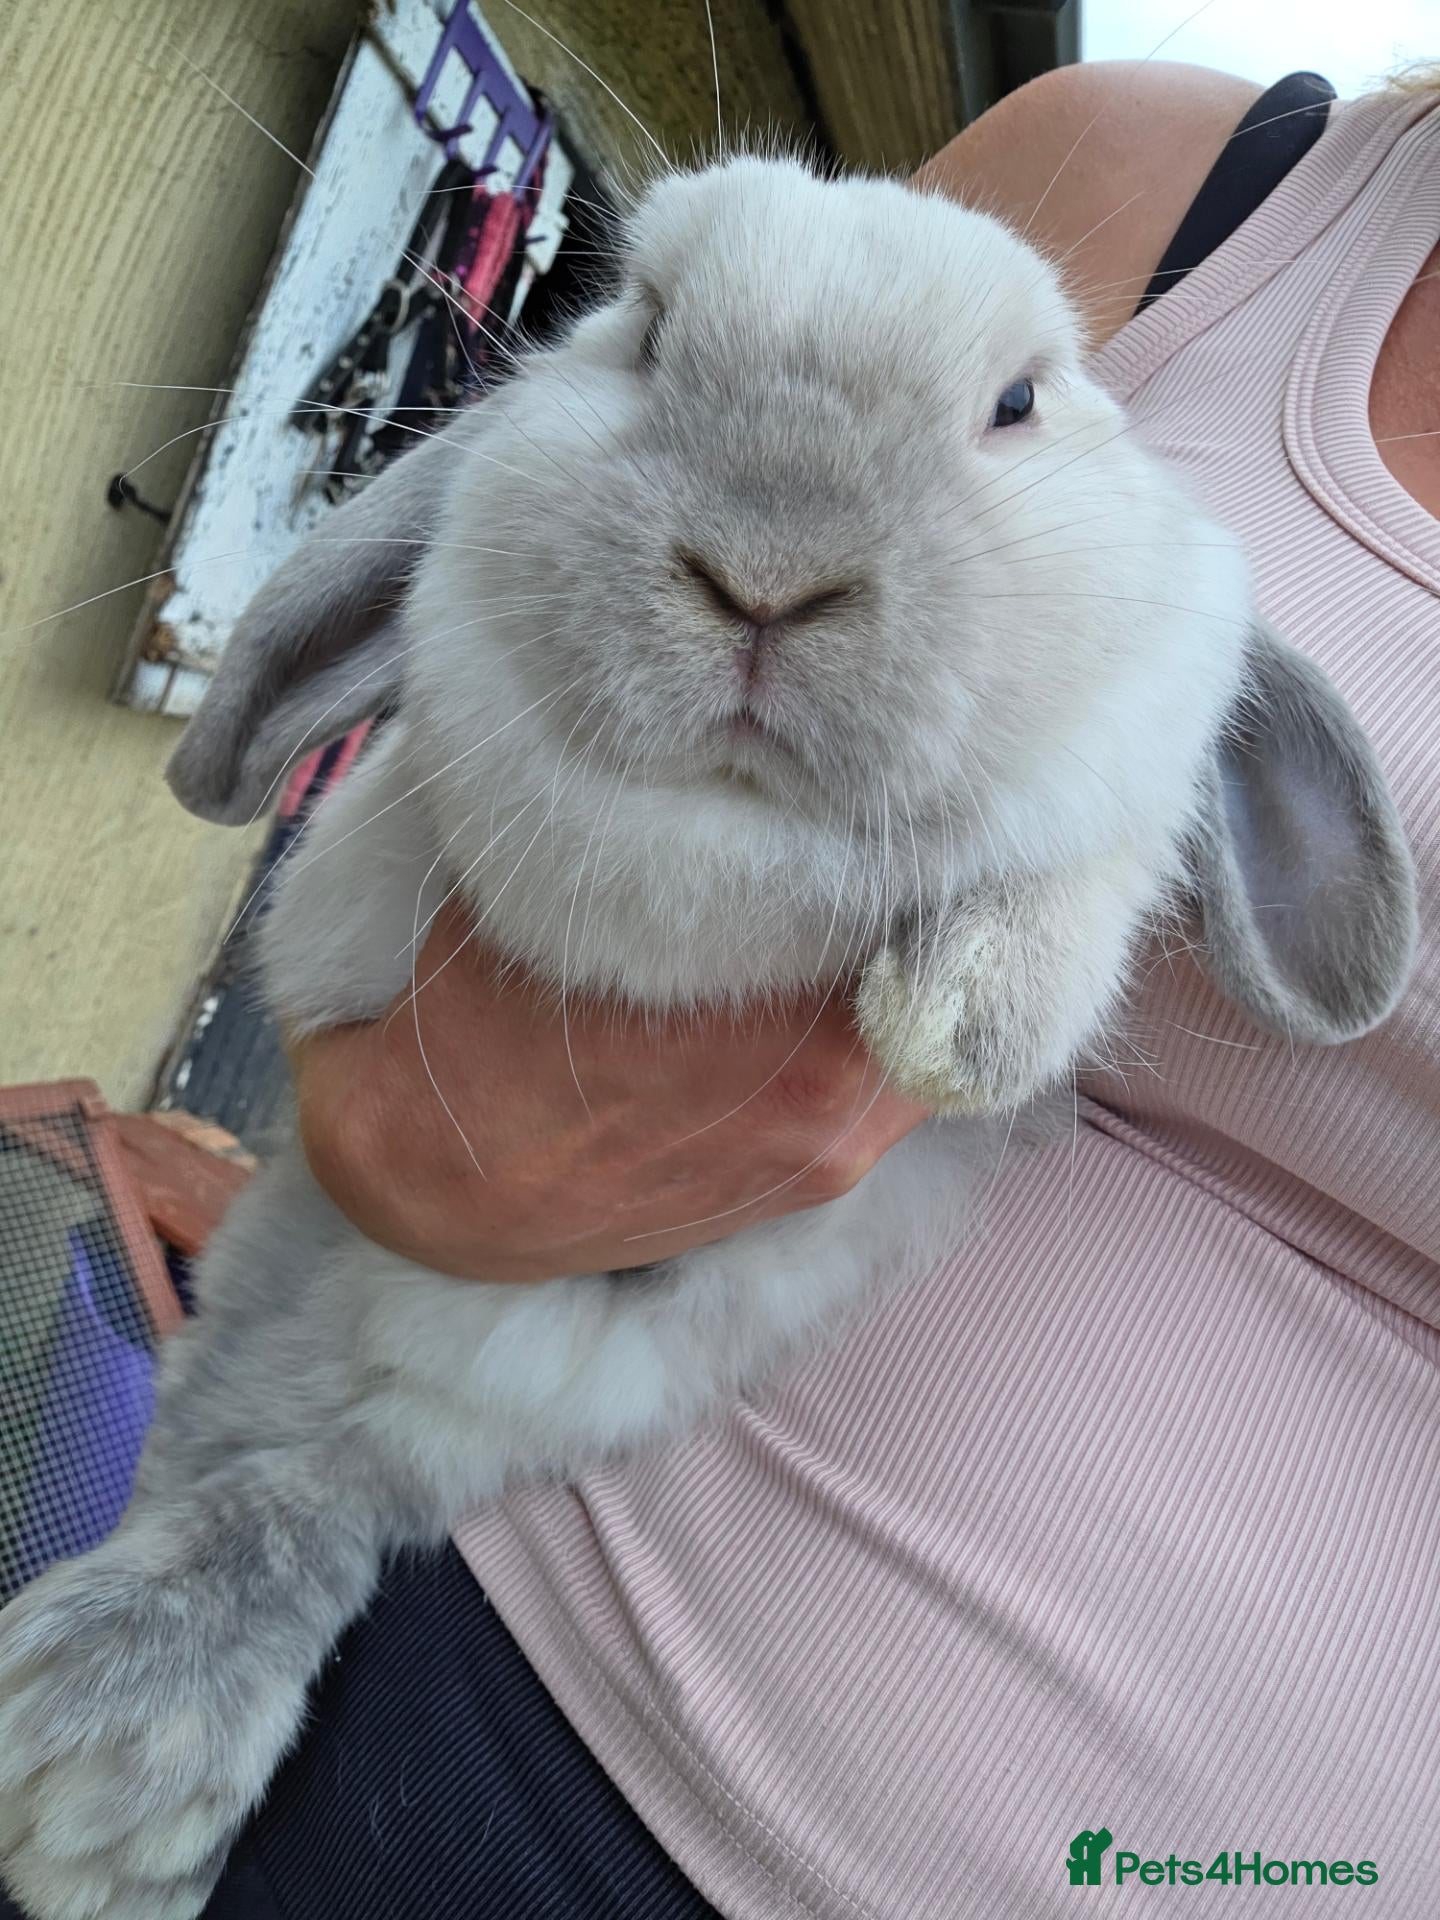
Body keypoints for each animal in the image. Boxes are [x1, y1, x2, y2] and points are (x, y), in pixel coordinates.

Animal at [0, 154, 1416, 1920]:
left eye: (1019, 401)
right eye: (650, 332)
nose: (765, 575)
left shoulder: (1146, 713)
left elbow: (1091, 851)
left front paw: (967, 1021)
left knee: (342, 1475)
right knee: (265, 1462)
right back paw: (99, 1756)